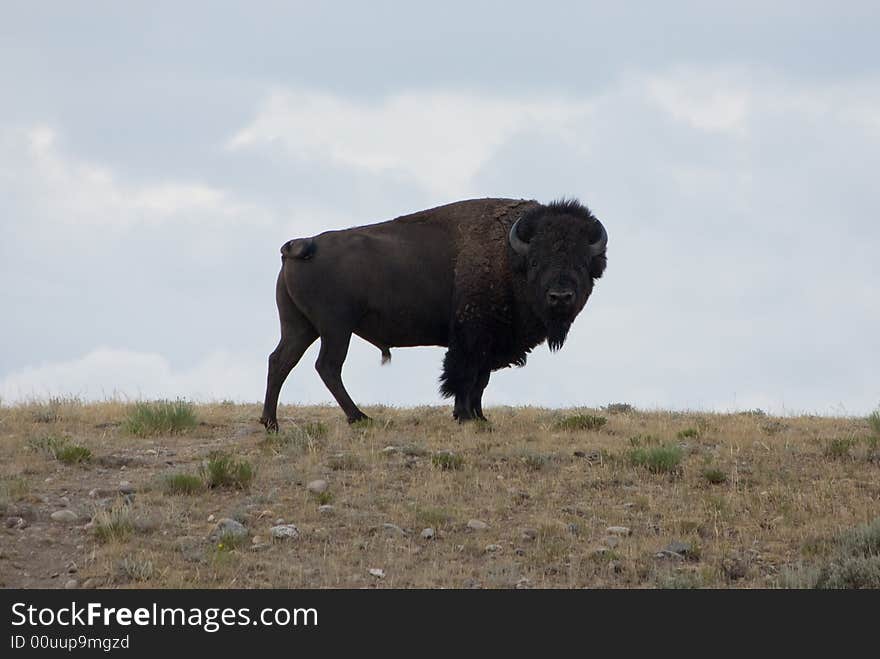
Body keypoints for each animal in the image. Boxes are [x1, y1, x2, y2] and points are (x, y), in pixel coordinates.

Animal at [258, 199, 608, 430]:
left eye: (582, 262)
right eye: (536, 262)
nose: (560, 297)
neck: (508, 257)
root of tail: (302, 245)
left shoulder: (487, 343)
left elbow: (480, 380)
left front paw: (479, 416)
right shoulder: (472, 338)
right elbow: (464, 376)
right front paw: (465, 416)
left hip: (301, 327)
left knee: (281, 361)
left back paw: (271, 423)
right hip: (335, 328)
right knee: (327, 366)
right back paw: (360, 418)